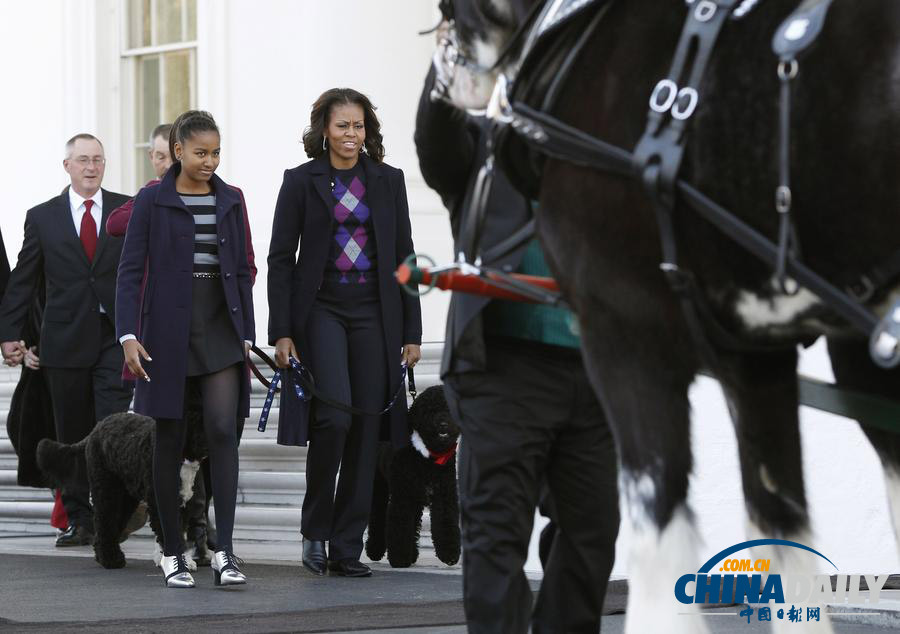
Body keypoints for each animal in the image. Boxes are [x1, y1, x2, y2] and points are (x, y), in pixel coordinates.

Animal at [36, 400, 205, 568]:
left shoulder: (182, 505)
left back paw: (103, 556)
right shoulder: (159, 500)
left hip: (125, 497)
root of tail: (96, 428)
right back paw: (111, 560)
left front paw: (175, 560)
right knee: (104, 522)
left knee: (111, 525)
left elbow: (177, 530)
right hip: (107, 489)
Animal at [368, 382, 464, 564]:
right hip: (381, 487)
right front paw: (399, 559)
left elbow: (445, 521)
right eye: (430, 410)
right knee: (378, 516)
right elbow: (400, 525)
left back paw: (412, 554)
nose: (443, 424)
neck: (428, 458)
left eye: (449, 408)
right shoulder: (403, 496)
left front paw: (449, 554)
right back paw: (375, 551)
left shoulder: (444, 494)